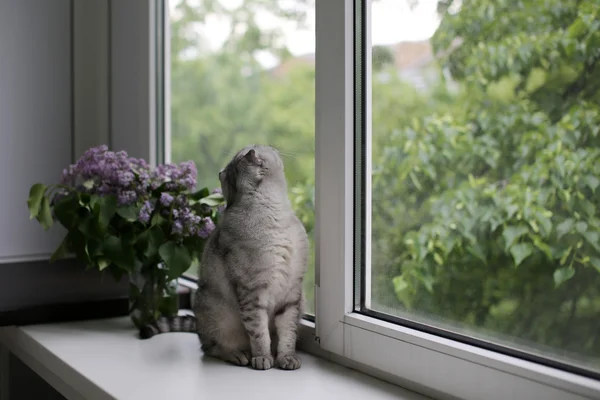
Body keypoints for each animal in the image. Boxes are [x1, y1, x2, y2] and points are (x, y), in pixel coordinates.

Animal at [193, 145, 310, 368]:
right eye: (266, 148)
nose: (275, 148)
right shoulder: (252, 293)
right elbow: (259, 333)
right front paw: (263, 358)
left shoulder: (291, 295)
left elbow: (288, 333)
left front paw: (286, 357)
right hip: (215, 314)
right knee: (210, 347)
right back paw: (237, 354)